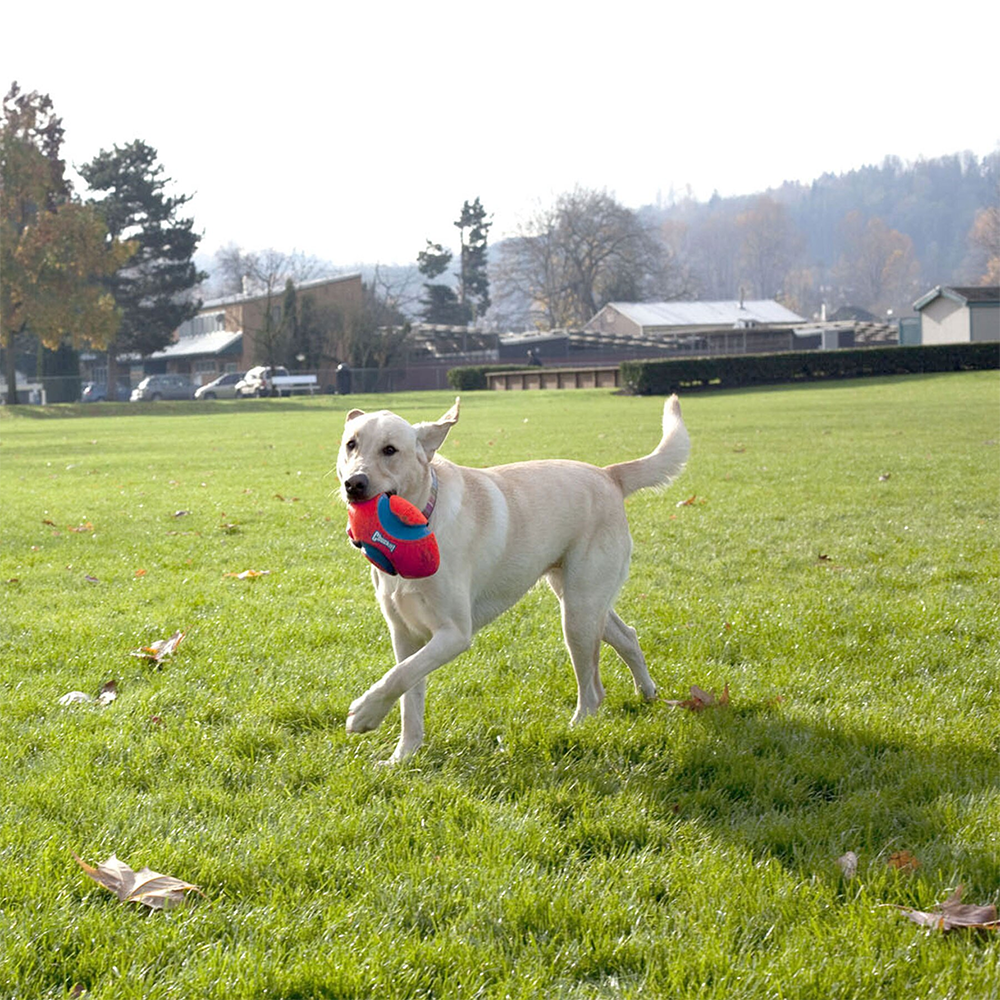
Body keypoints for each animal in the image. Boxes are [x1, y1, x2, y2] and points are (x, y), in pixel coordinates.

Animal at [336, 394, 688, 760]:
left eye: (390, 450)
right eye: (351, 444)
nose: (354, 484)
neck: (421, 522)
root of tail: (608, 474)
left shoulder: (454, 634)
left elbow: (397, 676)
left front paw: (364, 713)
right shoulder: (405, 634)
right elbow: (408, 694)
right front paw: (403, 755)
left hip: (579, 613)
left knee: (593, 692)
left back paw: (575, 727)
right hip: (583, 603)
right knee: (627, 636)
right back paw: (647, 691)